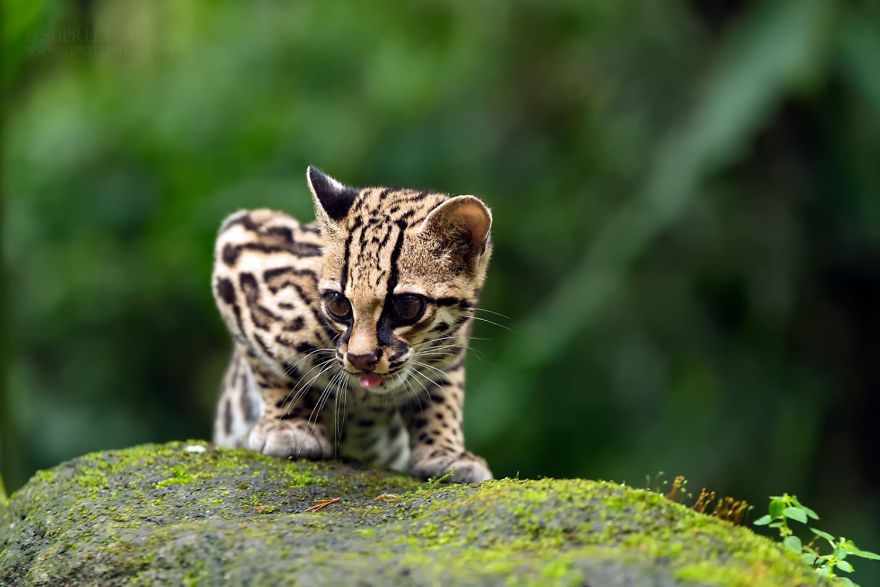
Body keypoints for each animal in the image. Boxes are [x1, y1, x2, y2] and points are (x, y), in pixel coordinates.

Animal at [210, 165, 492, 482]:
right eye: (338, 304)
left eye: (407, 307)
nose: (360, 358)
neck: (365, 398)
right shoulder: (239, 243)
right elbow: (270, 367)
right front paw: (288, 426)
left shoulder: (451, 349)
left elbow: (443, 394)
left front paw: (445, 451)